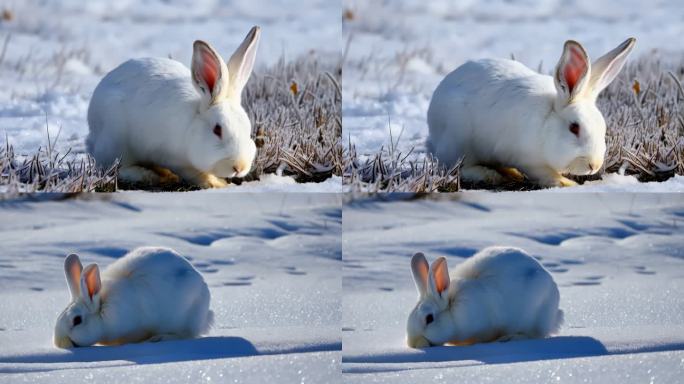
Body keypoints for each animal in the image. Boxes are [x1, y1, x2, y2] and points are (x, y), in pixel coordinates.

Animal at [86, 26, 262, 188]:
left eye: (248, 129)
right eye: (217, 130)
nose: (240, 166)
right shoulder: (176, 161)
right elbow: (196, 174)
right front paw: (217, 184)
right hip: (115, 141)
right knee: (114, 168)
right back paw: (152, 176)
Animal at [428, 38, 636, 187]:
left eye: (603, 128)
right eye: (574, 128)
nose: (594, 165)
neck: (547, 123)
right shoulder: (530, 161)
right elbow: (547, 175)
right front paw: (568, 184)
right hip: (458, 142)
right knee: (456, 168)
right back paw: (493, 176)